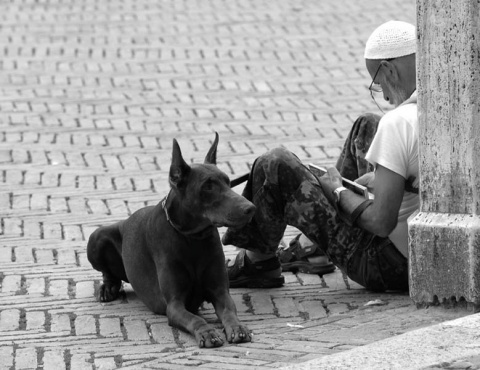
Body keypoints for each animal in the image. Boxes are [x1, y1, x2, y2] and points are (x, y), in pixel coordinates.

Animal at [86, 133, 255, 346]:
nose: (251, 208)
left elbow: (229, 311)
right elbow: (195, 319)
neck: (193, 239)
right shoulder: (174, 304)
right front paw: (207, 332)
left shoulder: (220, 292)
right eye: (208, 186)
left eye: (228, 181)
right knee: (108, 272)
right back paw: (108, 287)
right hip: (97, 236)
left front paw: (237, 328)